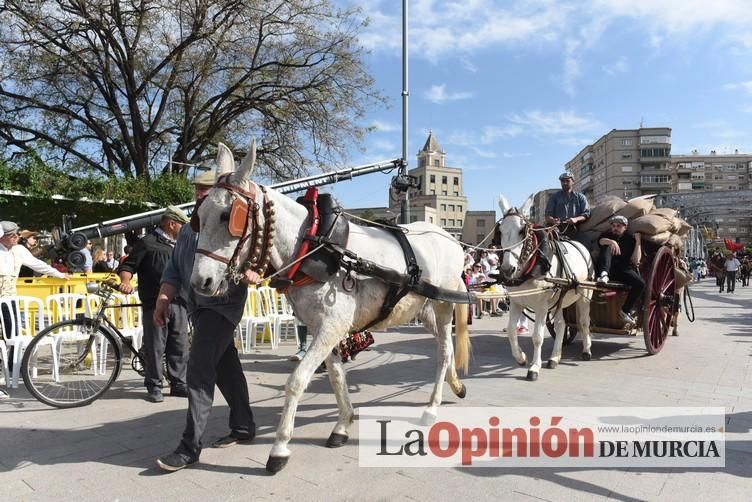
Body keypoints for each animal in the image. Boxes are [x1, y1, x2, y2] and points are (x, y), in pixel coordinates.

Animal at [189, 142, 470, 474]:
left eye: (226, 215)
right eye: (199, 215)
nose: (201, 281)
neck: (315, 244)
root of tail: (450, 238)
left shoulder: (331, 326)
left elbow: (297, 380)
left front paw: (280, 448)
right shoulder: (322, 326)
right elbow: (336, 376)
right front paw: (343, 424)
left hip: (443, 304)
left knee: (444, 351)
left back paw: (431, 407)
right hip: (421, 308)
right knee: (445, 347)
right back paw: (455, 385)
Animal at [500, 195, 592, 380]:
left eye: (522, 231)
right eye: (500, 231)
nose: (507, 269)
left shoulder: (542, 307)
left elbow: (537, 337)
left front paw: (534, 367)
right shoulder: (516, 302)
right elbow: (511, 332)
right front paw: (521, 357)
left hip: (584, 294)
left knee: (584, 322)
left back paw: (586, 350)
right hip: (560, 300)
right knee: (561, 325)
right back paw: (555, 357)